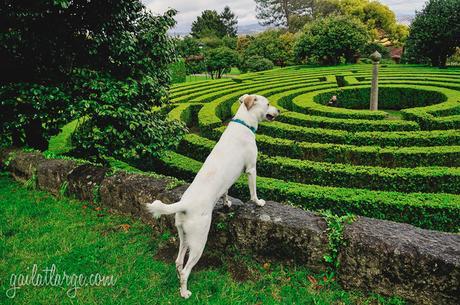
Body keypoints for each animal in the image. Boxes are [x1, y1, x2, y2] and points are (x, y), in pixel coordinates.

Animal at [146, 92, 278, 296]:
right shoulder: (251, 169)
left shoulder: (228, 181)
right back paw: (184, 292)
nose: (279, 110)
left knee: (178, 262)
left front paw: (226, 203)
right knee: (185, 270)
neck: (243, 122)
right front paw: (258, 203)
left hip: (184, 236)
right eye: (268, 103)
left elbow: (225, 191)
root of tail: (184, 204)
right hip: (199, 241)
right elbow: (253, 191)